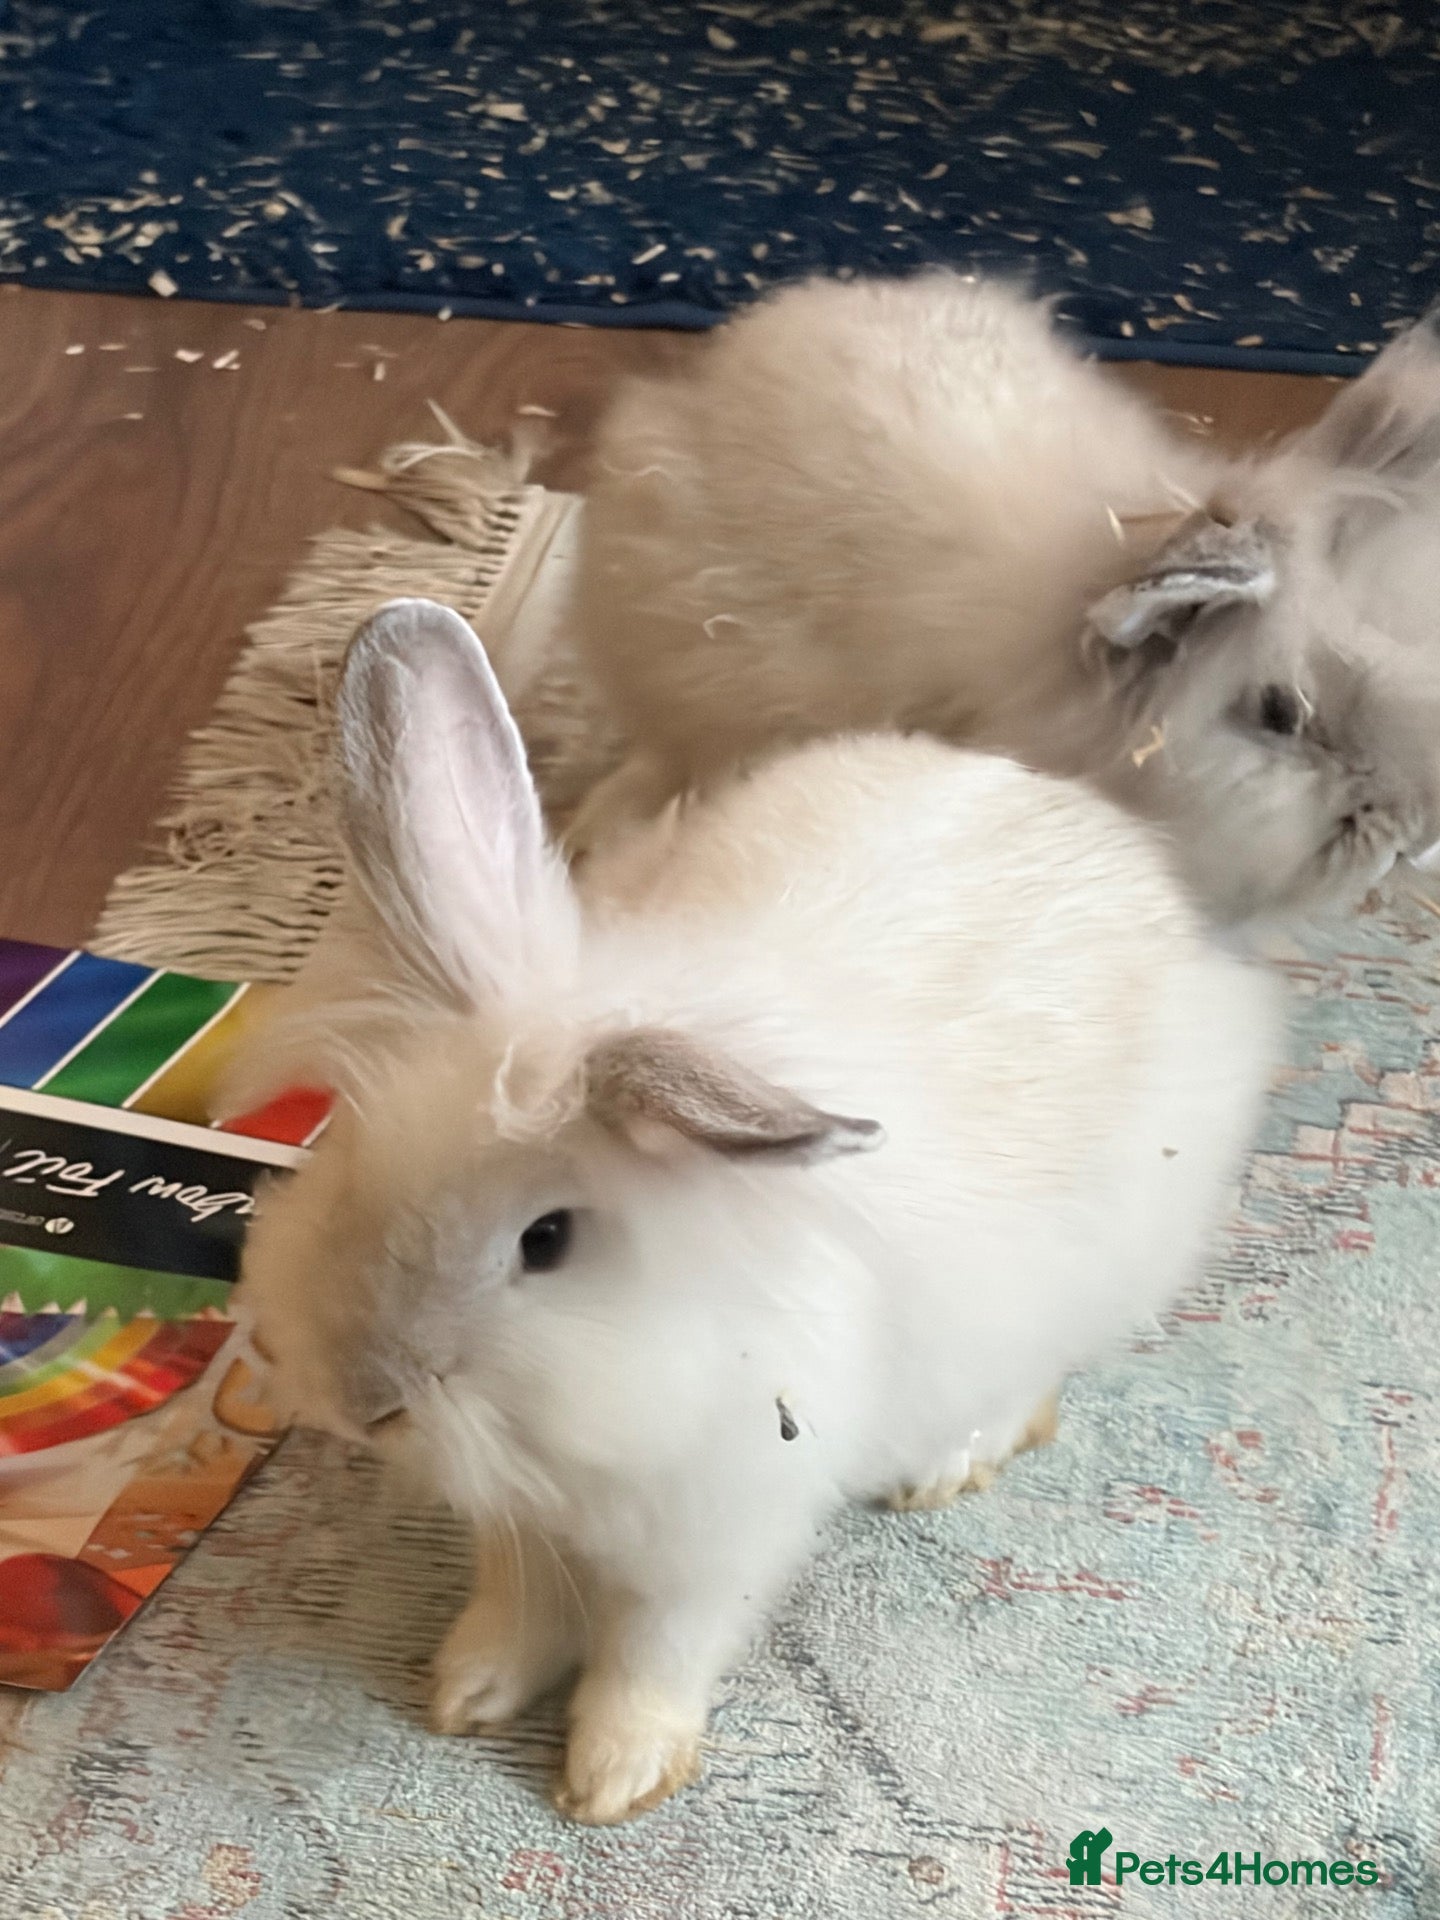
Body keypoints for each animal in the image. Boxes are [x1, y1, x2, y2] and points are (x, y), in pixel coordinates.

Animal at [230, 597, 1279, 1825]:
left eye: (548, 1240)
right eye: (352, 1150)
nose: (368, 1401)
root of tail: (1107, 835)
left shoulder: (717, 1540)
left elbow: (654, 1653)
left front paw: (615, 1777)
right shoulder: (524, 1520)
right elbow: (520, 1605)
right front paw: (468, 1690)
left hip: (1099, 1263)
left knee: (1031, 1376)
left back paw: (947, 1464)